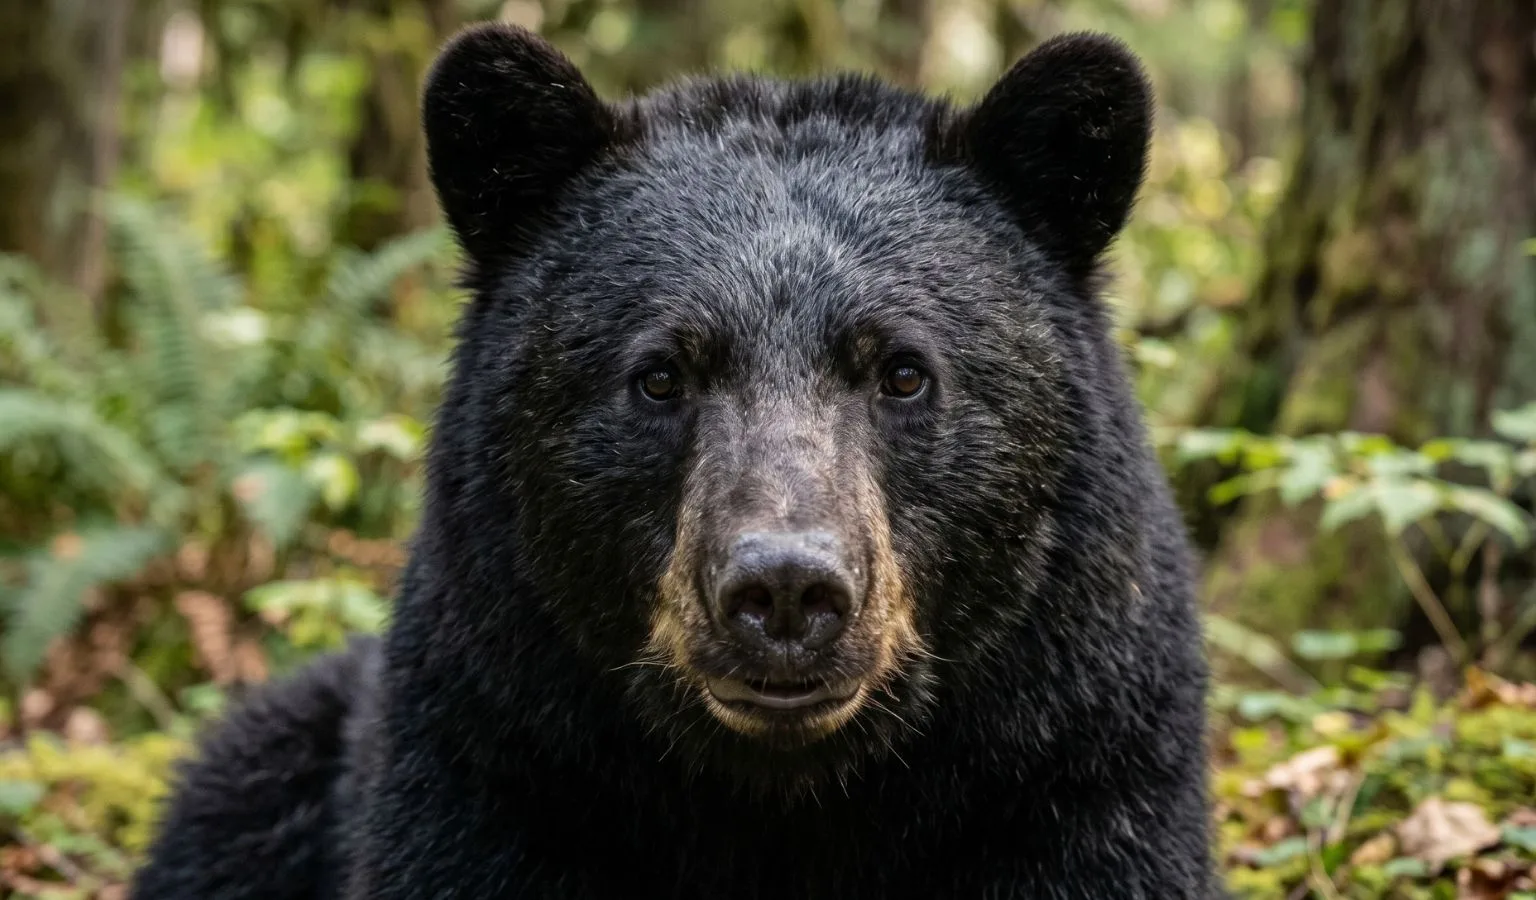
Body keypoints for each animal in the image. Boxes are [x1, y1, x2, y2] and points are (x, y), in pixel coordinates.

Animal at [131, 21, 1217, 900]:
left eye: (905, 373)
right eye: (660, 375)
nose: (786, 590)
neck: (785, 799)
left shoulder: (1075, 773)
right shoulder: (495, 765)